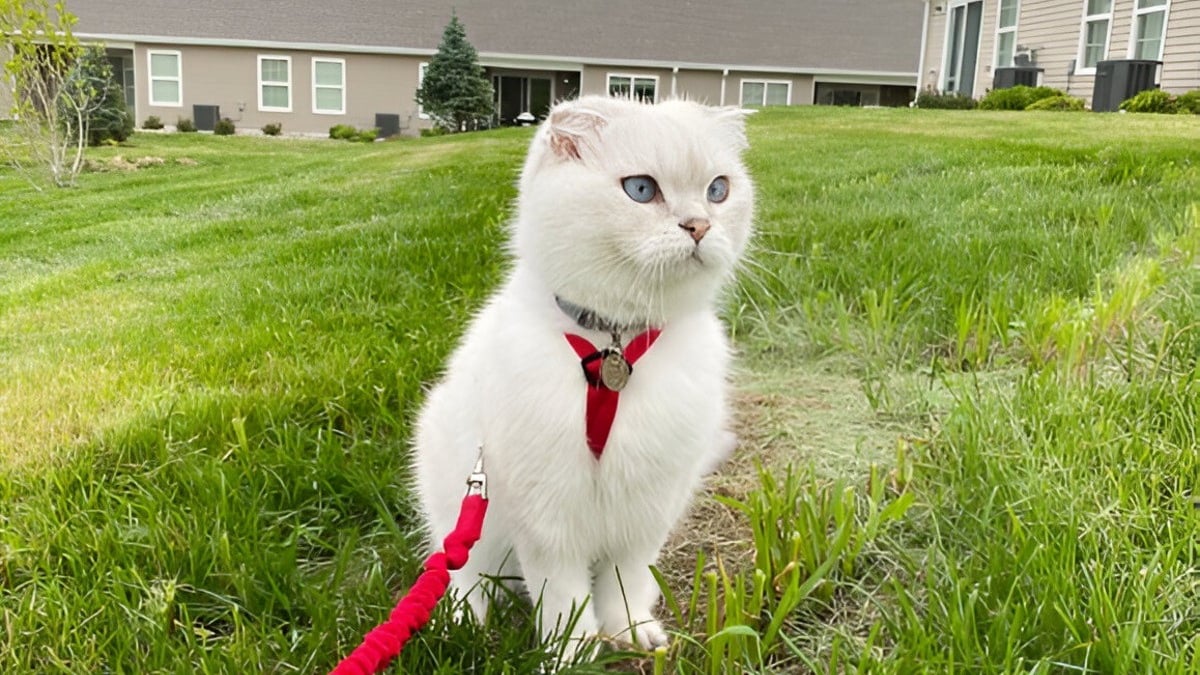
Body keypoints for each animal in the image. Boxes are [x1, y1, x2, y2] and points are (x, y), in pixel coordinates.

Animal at [412, 94, 748, 658]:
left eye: (718, 190)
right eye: (641, 189)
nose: (700, 225)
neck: (612, 346)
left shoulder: (648, 506)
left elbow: (625, 580)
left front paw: (629, 632)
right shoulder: (546, 514)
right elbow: (563, 595)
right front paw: (570, 653)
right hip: (458, 494)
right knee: (460, 572)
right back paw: (462, 621)